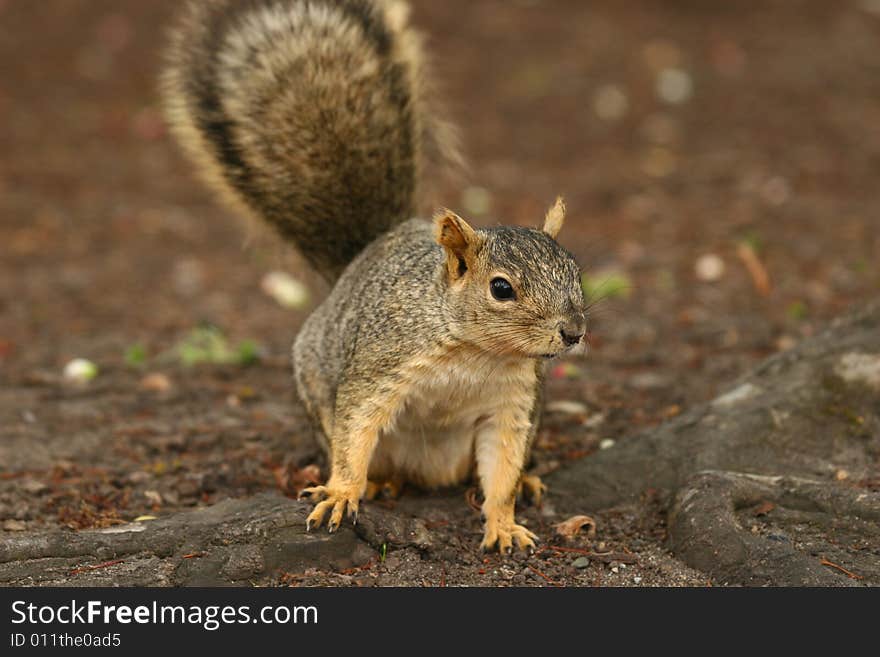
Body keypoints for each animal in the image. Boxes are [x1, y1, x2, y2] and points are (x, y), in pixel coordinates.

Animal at [163, 1, 592, 552]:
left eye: (575, 271)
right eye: (501, 288)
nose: (574, 332)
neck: (476, 353)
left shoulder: (513, 403)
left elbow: (502, 468)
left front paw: (503, 522)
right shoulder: (380, 365)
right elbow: (355, 430)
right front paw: (343, 492)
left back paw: (530, 481)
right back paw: (379, 483)